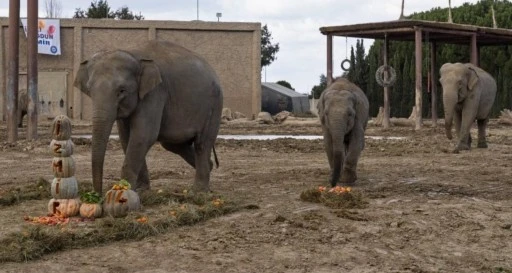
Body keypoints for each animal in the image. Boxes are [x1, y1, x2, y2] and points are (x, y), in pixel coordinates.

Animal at [73, 39, 222, 193]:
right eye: (89, 89)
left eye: (122, 90)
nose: (97, 194)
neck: (133, 54)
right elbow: (126, 138)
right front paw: (141, 190)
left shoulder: (155, 93)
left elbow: (142, 135)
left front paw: (125, 190)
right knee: (172, 144)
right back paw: (210, 166)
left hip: (214, 105)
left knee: (202, 143)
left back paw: (199, 191)